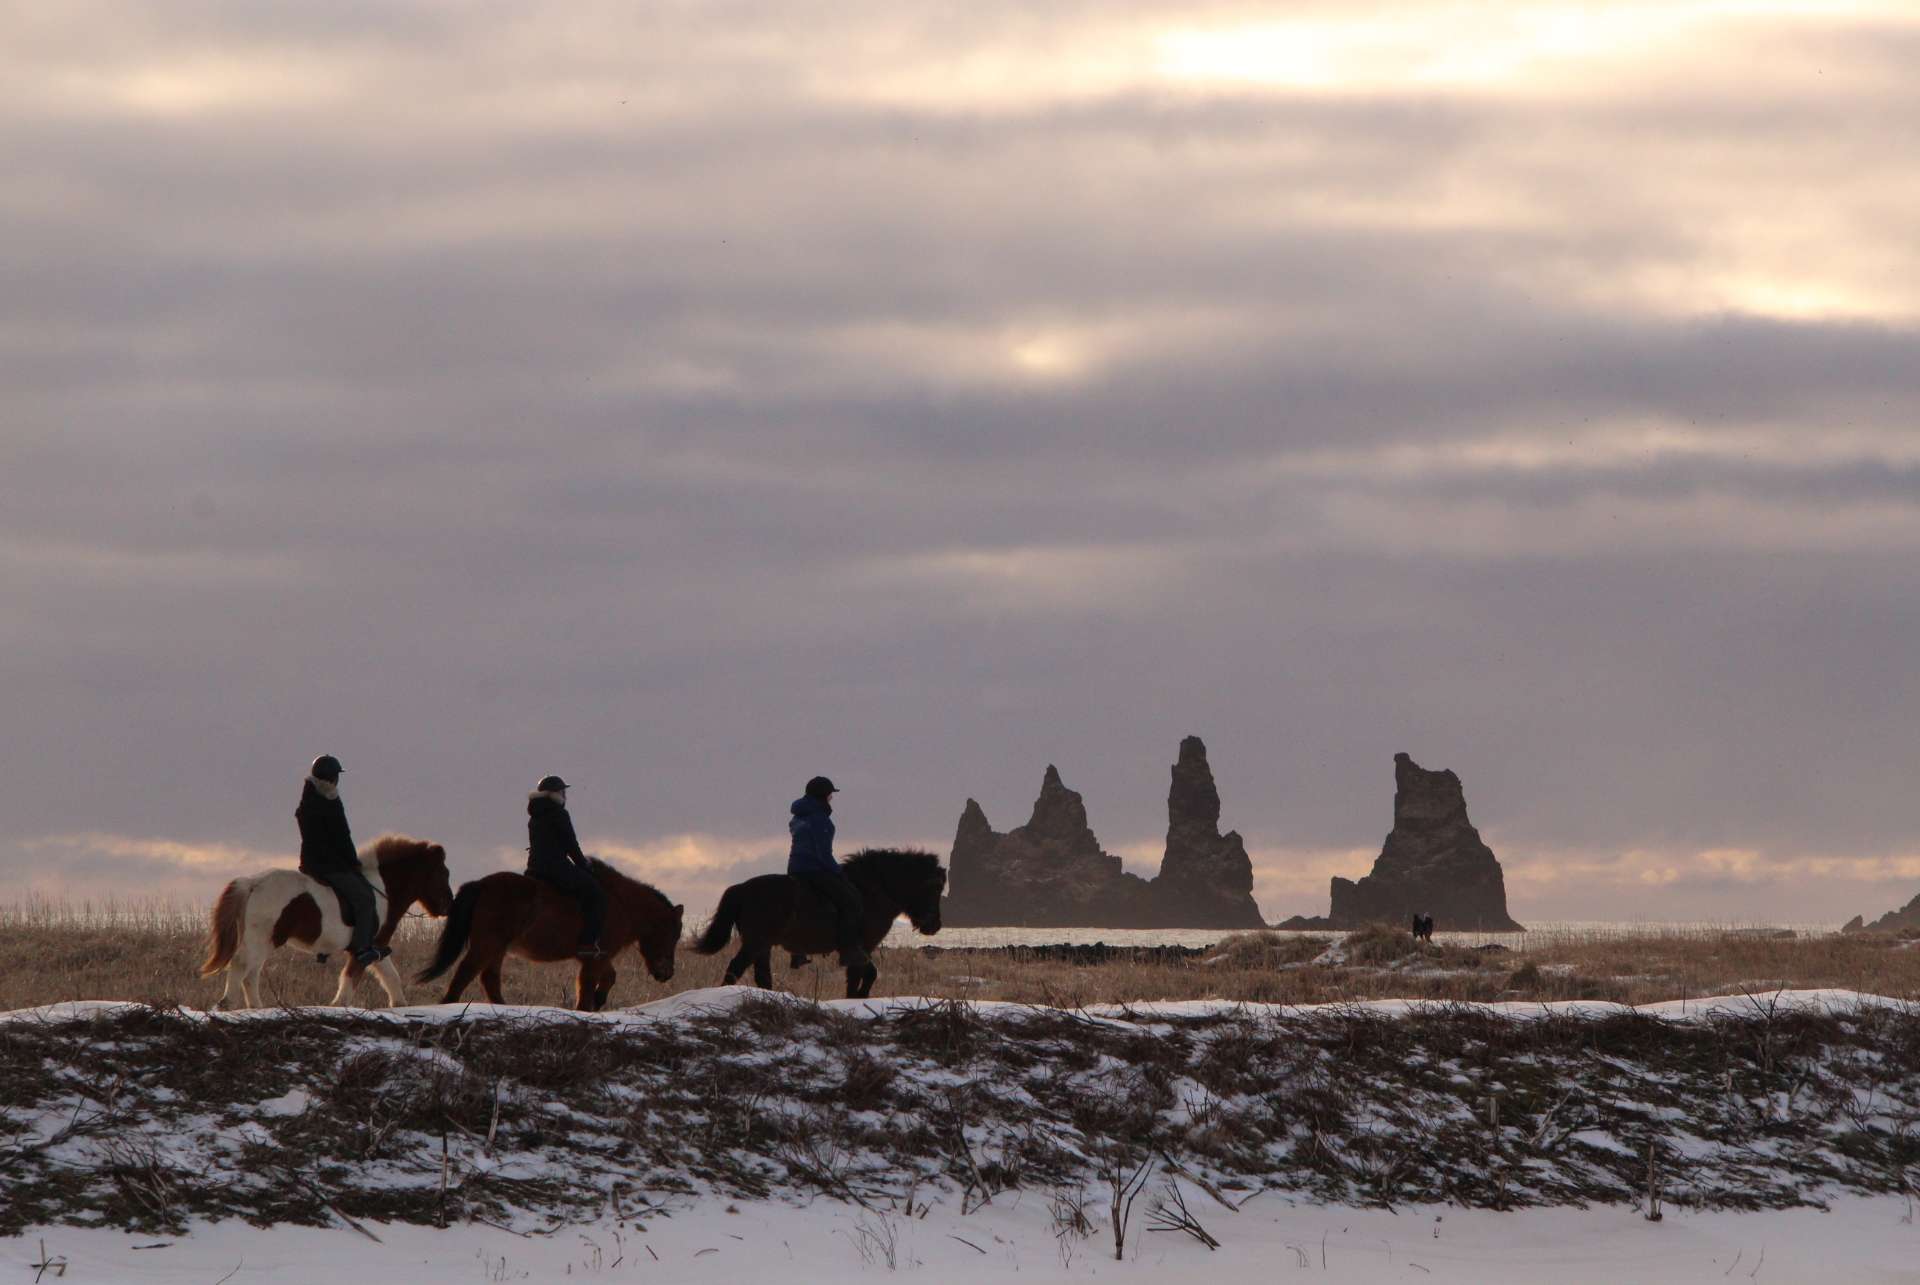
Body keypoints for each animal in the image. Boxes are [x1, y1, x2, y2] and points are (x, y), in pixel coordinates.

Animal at [199, 833, 456, 1014]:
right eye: (442, 873)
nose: (447, 907)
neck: (381, 891)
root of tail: (252, 882)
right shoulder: (368, 946)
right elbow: (352, 978)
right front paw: (338, 1005)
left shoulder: (377, 946)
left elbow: (390, 976)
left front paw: (400, 1004)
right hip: (262, 939)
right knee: (242, 966)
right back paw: (228, 1005)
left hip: (263, 941)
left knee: (251, 973)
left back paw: (256, 1008)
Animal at [418, 860, 683, 1014]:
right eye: (672, 933)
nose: (667, 973)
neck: (621, 904)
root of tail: (481, 884)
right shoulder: (595, 957)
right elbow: (587, 985)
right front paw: (586, 1007)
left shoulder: (598, 956)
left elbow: (609, 977)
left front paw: (598, 1000)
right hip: (487, 944)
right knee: (466, 973)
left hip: (497, 947)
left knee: (489, 979)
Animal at [698, 845, 952, 998]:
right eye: (934, 887)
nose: (934, 925)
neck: (872, 892)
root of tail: (742, 888)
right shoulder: (863, 946)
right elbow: (865, 975)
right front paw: (858, 998)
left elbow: (860, 976)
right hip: (755, 942)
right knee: (734, 969)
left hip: (763, 945)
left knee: (761, 976)